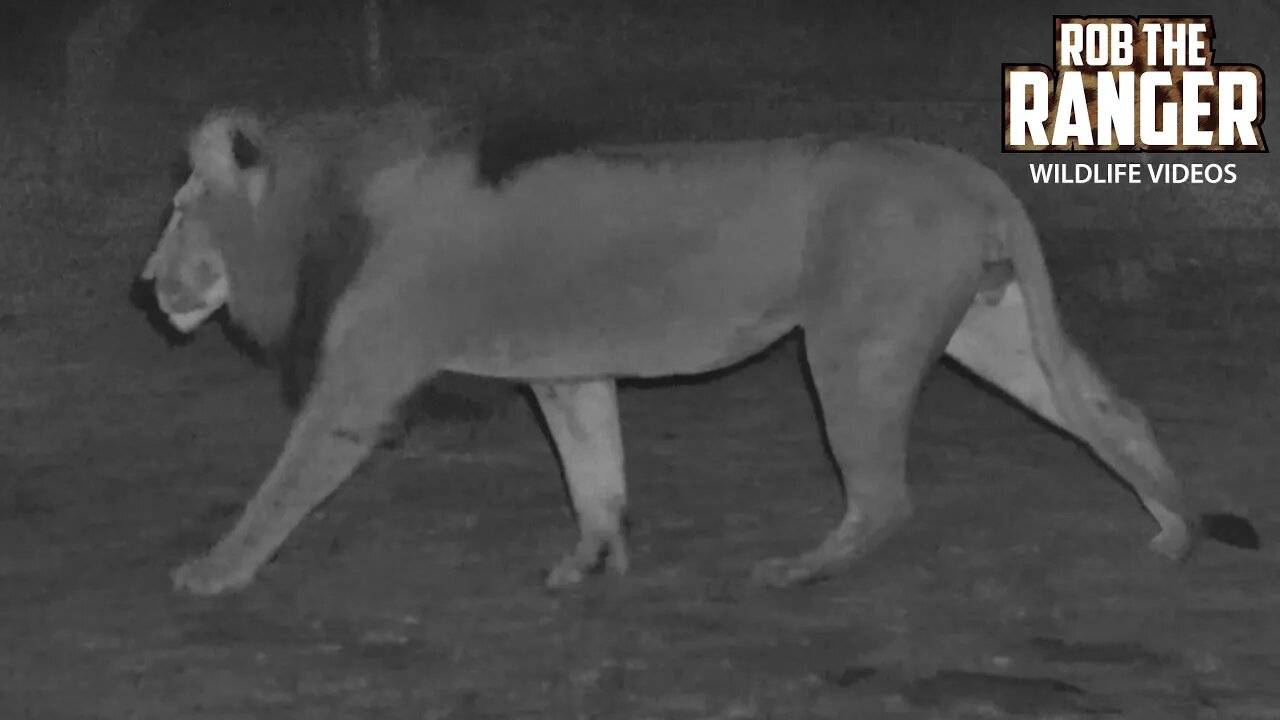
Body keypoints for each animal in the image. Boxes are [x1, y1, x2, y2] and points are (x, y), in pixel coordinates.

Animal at [135, 101, 1254, 594]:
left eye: (182, 209)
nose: (146, 285)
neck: (327, 206)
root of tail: (965, 169)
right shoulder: (568, 371)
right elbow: (594, 470)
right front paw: (592, 560)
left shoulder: (362, 379)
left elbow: (282, 484)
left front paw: (213, 571)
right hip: (990, 326)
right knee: (1107, 410)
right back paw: (1173, 528)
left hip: (853, 344)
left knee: (885, 494)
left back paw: (802, 569)